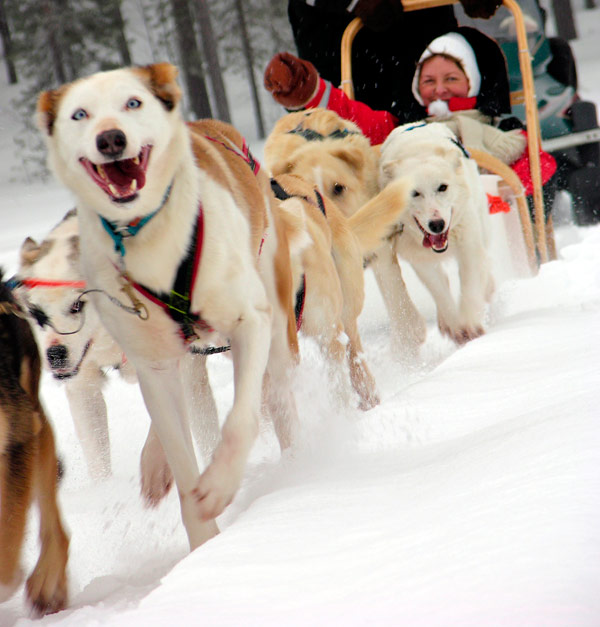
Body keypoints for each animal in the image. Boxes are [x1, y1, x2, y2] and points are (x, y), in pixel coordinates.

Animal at [37, 63, 300, 548]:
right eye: (79, 114)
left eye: (132, 102)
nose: (111, 139)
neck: (148, 238)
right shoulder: (153, 365)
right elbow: (179, 451)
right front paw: (204, 544)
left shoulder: (249, 322)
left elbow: (241, 422)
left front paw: (219, 485)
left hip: (274, 319)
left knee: (276, 391)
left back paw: (297, 460)